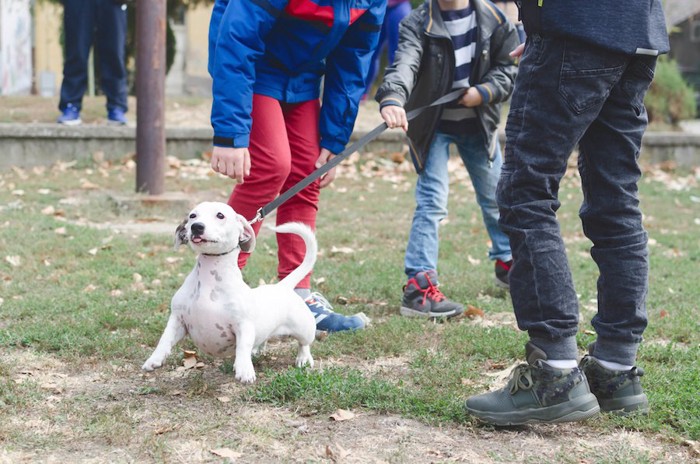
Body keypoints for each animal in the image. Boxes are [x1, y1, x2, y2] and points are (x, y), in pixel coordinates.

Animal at [142, 201, 314, 382]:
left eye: (220, 215)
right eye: (192, 216)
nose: (196, 227)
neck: (209, 281)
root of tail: (282, 286)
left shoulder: (243, 324)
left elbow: (243, 346)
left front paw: (244, 369)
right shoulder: (178, 320)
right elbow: (165, 339)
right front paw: (154, 359)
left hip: (304, 329)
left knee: (304, 344)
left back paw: (303, 358)